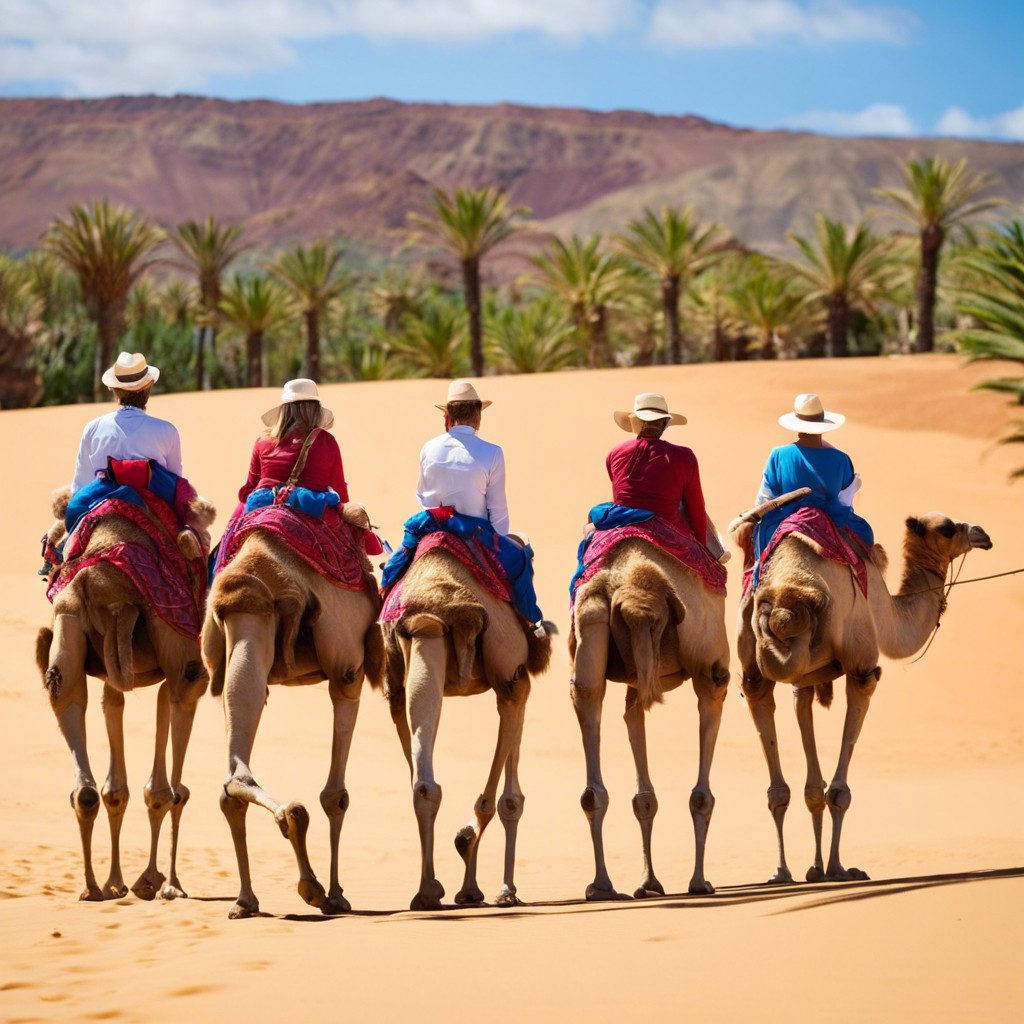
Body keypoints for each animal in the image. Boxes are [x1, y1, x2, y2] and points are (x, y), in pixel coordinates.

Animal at [36, 495, 216, 902]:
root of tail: (107, 588)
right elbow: (163, 787)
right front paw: (152, 881)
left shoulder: (111, 672)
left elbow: (115, 783)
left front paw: (117, 882)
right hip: (180, 652)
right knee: (173, 787)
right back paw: (161, 882)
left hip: (69, 622)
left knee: (65, 701)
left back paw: (92, 887)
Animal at [202, 518, 383, 919]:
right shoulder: (348, 672)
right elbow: (336, 796)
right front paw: (336, 894)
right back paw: (312, 882)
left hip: (246, 634)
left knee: (233, 782)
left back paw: (250, 895)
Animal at [381, 546, 551, 910]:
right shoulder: (516, 679)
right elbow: (511, 797)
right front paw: (499, 887)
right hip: (506, 665)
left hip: (415, 657)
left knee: (422, 781)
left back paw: (427, 891)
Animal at [570, 539, 730, 900]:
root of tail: (635, 598)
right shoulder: (714, 669)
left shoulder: (634, 685)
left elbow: (643, 796)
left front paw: (648, 882)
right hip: (710, 665)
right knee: (702, 794)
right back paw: (699, 882)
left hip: (590, 629)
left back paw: (602, 886)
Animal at [735, 511, 992, 884]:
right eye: (947, 527)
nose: (982, 534)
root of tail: (784, 601)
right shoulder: (862, 667)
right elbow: (837, 790)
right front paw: (836, 869)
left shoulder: (804, 683)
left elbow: (813, 788)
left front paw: (816, 870)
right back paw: (821, 869)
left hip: (754, 668)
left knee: (774, 775)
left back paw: (781, 872)